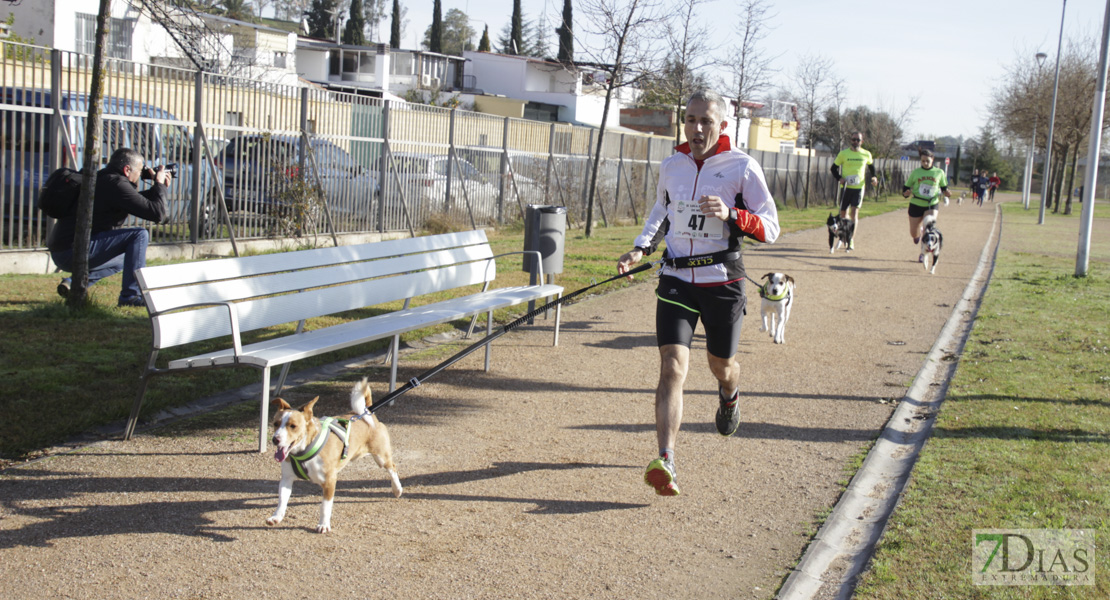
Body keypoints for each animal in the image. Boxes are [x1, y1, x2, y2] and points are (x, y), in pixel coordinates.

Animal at [266, 377, 401, 530]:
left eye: (293, 426)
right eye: (276, 423)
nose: (275, 439)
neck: (304, 451)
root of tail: (367, 412)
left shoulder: (329, 481)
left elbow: (325, 506)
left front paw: (323, 524)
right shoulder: (286, 479)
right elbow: (282, 500)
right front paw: (276, 517)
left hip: (381, 457)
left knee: (392, 468)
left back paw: (397, 489)